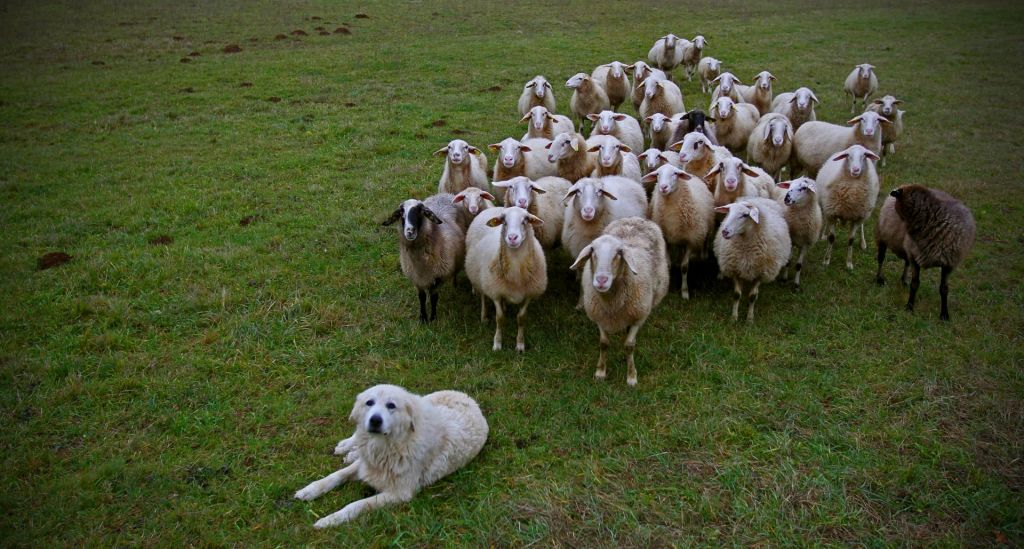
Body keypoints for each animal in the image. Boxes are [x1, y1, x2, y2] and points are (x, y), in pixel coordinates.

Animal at [294, 383, 489, 524]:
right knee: (356, 436)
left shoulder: (399, 493)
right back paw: (346, 447)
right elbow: (336, 475)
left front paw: (330, 520)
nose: (375, 420)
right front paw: (310, 490)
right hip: (424, 401)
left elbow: (356, 506)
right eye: (369, 403)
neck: (390, 446)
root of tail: (468, 397)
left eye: (391, 406)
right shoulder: (367, 464)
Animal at [382, 192, 466, 321]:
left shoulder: (438, 276)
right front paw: (422, 318)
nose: (409, 231)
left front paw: (433, 318)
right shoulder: (416, 278)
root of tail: (445, 194)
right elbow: (421, 297)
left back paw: (454, 284)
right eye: (401, 213)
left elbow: (433, 297)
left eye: (420, 211)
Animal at [466, 205, 548, 352]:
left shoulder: (529, 295)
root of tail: (495, 207)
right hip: (480, 277)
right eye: (504, 221)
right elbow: (500, 319)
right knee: (483, 297)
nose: (512, 237)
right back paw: (484, 316)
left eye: (525, 220)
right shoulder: (496, 293)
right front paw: (497, 343)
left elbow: (521, 318)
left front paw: (520, 345)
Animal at [573, 218, 667, 385]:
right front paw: (600, 372)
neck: (612, 304)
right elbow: (604, 344)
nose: (601, 280)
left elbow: (629, 346)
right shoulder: (600, 317)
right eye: (593, 251)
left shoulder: (638, 317)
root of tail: (635, 218)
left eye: (619, 253)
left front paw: (631, 376)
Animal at [638, 164, 712, 301]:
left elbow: (684, 267)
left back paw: (703, 256)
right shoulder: (666, 239)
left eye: (675, 173)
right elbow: (668, 264)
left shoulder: (691, 241)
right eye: (657, 174)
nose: (663, 187)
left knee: (705, 240)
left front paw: (685, 292)